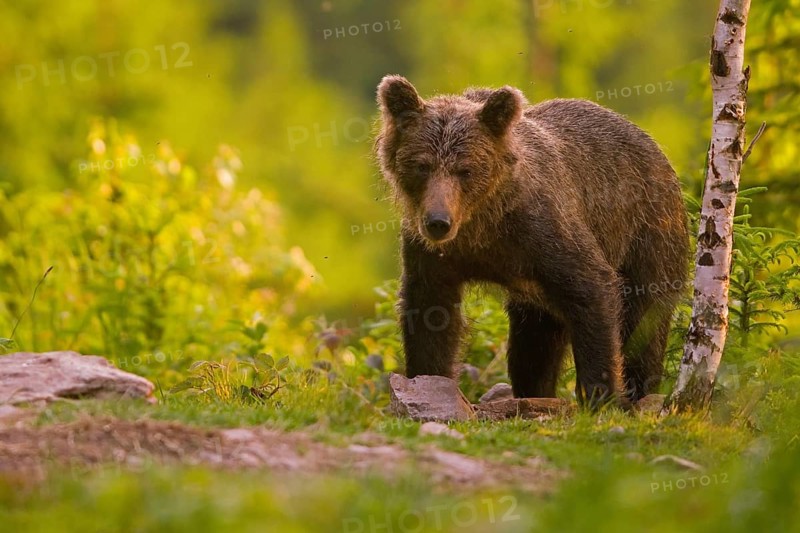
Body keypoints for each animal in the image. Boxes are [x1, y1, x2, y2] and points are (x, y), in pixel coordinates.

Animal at [374, 75, 689, 408]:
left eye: (465, 170)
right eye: (422, 165)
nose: (438, 221)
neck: (483, 225)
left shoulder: (544, 232)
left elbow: (593, 290)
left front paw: (600, 395)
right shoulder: (432, 256)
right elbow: (430, 314)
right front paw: (427, 380)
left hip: (648, 232)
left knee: (645, 320)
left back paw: (641, 391)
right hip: (538, 299)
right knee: (533, 346)